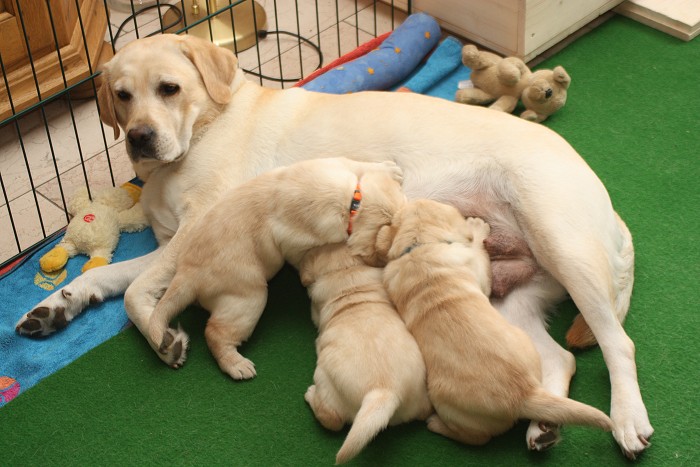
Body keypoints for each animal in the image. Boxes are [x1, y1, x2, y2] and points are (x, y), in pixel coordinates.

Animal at [145, 157, 404, 378]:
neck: (352, 204)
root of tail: (186, 274)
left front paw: (390, 169)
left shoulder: (332, 163)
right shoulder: (297, 242)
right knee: (215, 332)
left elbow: (358, 164)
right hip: (248, 298)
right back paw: (236, 365)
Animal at [299, 242, 432, 464]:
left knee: (332, 418)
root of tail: (384, 393)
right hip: (421, 397)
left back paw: (310, 394)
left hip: (324, 379)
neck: (345, 271)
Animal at [351, 199, 613, 445]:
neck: (419, 249)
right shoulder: (478, 272)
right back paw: (437, 424)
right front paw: (477, 228)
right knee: (477, 438)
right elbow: (479, 257)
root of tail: (523, 394)